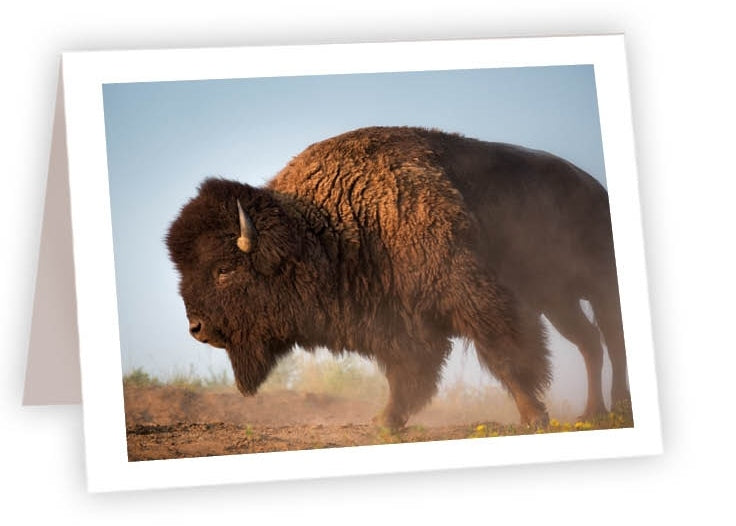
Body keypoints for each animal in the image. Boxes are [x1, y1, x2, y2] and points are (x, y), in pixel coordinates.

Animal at [166, 126, 628, 429]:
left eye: (223, 269)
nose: (197, 328)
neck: (328, 227)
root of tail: (595, 188)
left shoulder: (473, 296)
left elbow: (508, 356)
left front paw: (534, 416)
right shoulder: (395, 323)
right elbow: (406, 373)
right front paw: (386, 420)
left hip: (601, 286)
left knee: (612, 336)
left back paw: (618, 407)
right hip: (558, 300)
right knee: (590, 342)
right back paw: (593, 413)